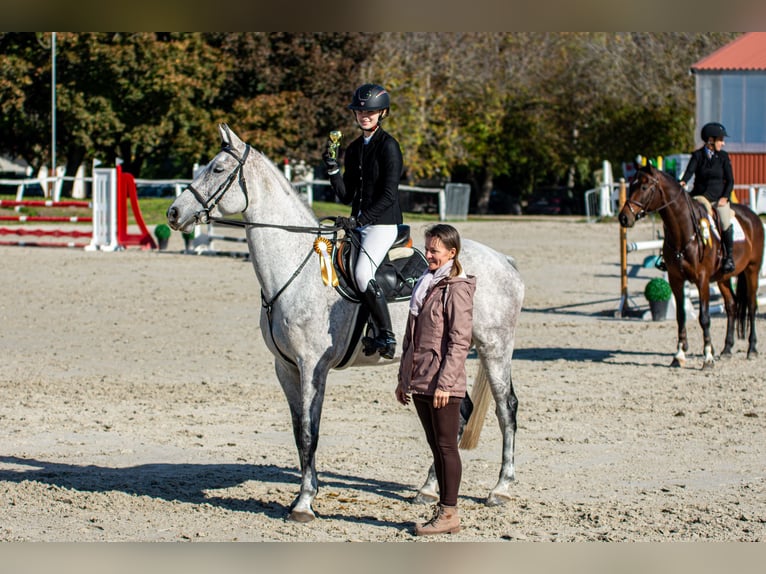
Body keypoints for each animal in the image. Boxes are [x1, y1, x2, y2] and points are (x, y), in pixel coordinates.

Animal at [166, 126, 528, 528]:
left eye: (217, 169)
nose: (174, 213)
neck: (297, 266)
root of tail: (503, 260)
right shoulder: (285, 367)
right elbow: (299, 432)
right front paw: (306, 492)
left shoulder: (313, 366)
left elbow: (311, 431)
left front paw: (304, 502)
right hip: (451, 355)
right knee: (459, 410)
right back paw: (428, 488)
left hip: (495, 348)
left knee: (506, 407)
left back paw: (500, 489)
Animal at [620, 163, 764, 368]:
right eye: (631, 186)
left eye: (644, 187)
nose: (624, 218)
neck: (684, 231)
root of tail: (753, 217)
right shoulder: (676, 280)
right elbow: (681, 316)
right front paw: (679, 355)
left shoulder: (702, 280)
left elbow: (704, 317)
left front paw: (708, 357)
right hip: (723, 278)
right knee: (732, 306)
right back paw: (727, 349)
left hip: (752, 270)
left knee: (751, 305)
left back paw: (752, 349)